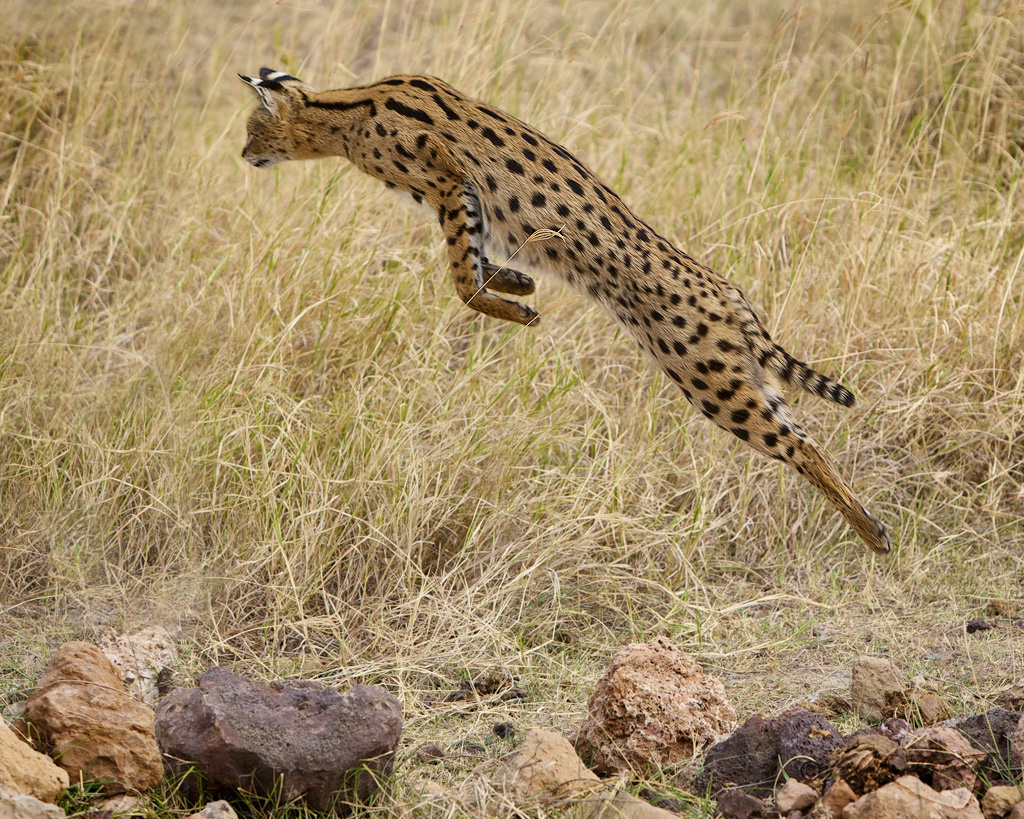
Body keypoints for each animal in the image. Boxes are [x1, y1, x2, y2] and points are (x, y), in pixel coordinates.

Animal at [239, 67, 888, 552]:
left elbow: (461, 276)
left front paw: (514, 304)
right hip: (743, 376)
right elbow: (476, 262)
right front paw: (518, 285)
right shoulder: (463, 199)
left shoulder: (446, 180)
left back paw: (873, 534)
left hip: (708, 380)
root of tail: (728, 290)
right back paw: (872, 524)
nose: (243, 154)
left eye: (251, 126)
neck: (347, 111)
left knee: (799, 447)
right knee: (806, 436)